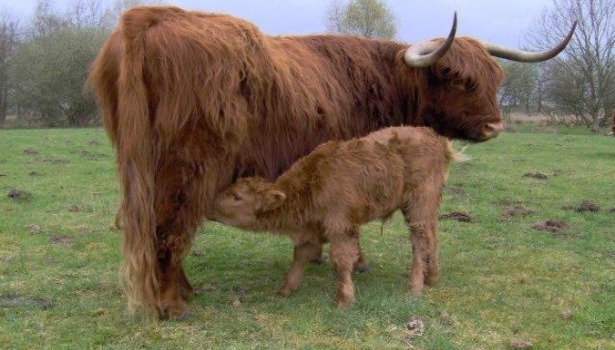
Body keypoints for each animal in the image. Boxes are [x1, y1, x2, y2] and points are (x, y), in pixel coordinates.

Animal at [212, 127, 458, 308]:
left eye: (237, 197)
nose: (210, 202)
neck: (311, 182)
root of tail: (433, 135)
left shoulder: (340, 225)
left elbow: (340, 259)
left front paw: (344, 299)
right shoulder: (312, 229)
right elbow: (301, 255)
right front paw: (284, 290)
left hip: (419, 203)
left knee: (420, 239)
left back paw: (415, 285)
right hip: (426, 207)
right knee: (432, 236)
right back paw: (432, 276)